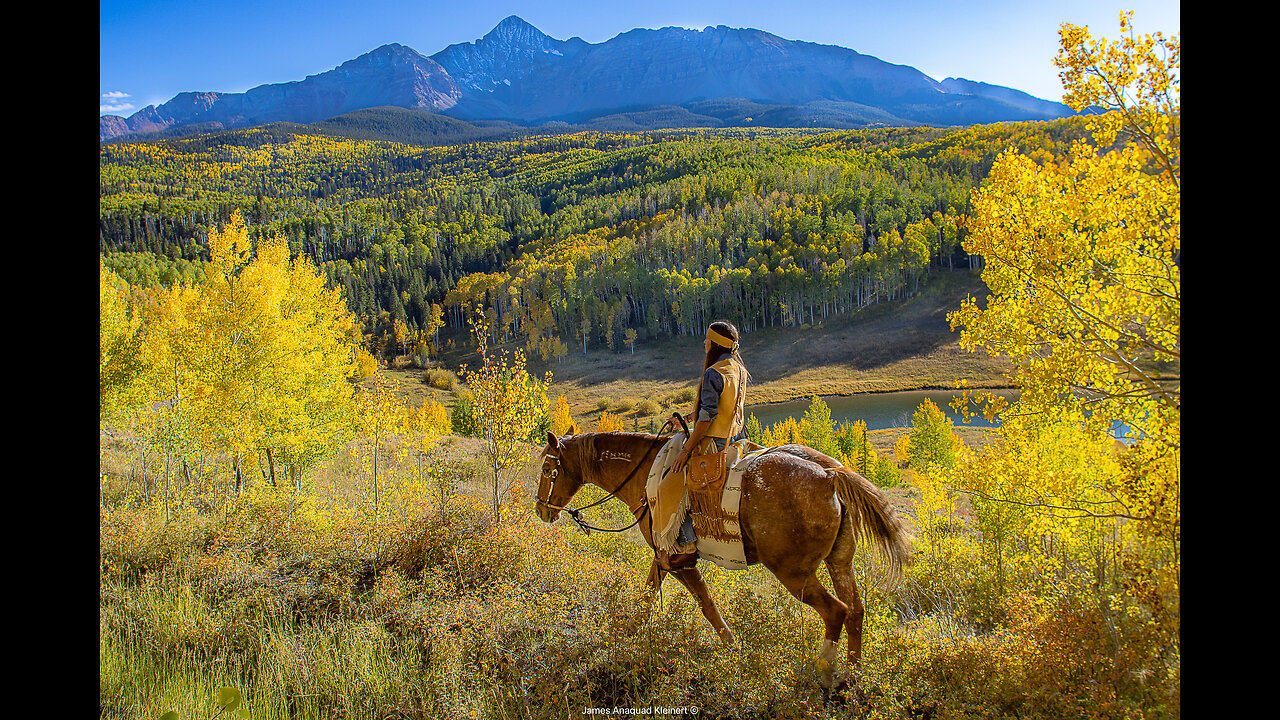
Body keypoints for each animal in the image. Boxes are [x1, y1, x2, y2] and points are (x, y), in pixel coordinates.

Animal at [535, 425, 916, 681]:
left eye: (548, 470)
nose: (542, 509)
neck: (646, 474)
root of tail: (829, 474)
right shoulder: (666, 557)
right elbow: (659, 594)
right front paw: (628, 633)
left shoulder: (673, 558)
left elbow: (698, 601)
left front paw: (730, 645)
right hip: (839, 563)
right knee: (855, 611)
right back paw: (851, 676)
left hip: (794, 572)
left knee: (836, 611)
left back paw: (819, 675)